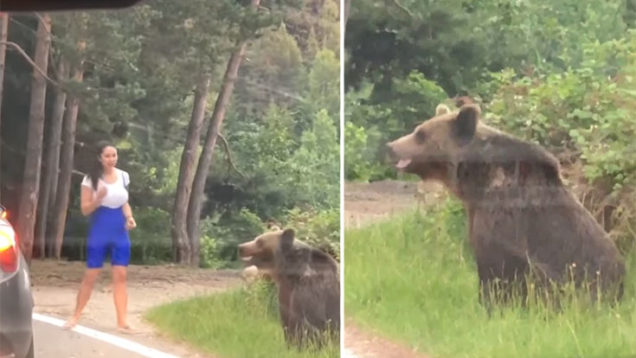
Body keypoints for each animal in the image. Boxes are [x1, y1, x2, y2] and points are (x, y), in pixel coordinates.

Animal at [386, 97, 624, 308]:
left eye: (420, 134)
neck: (475, 181)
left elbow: (498, 265)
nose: (390, 146)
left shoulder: (503, 213)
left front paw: (490, 305)